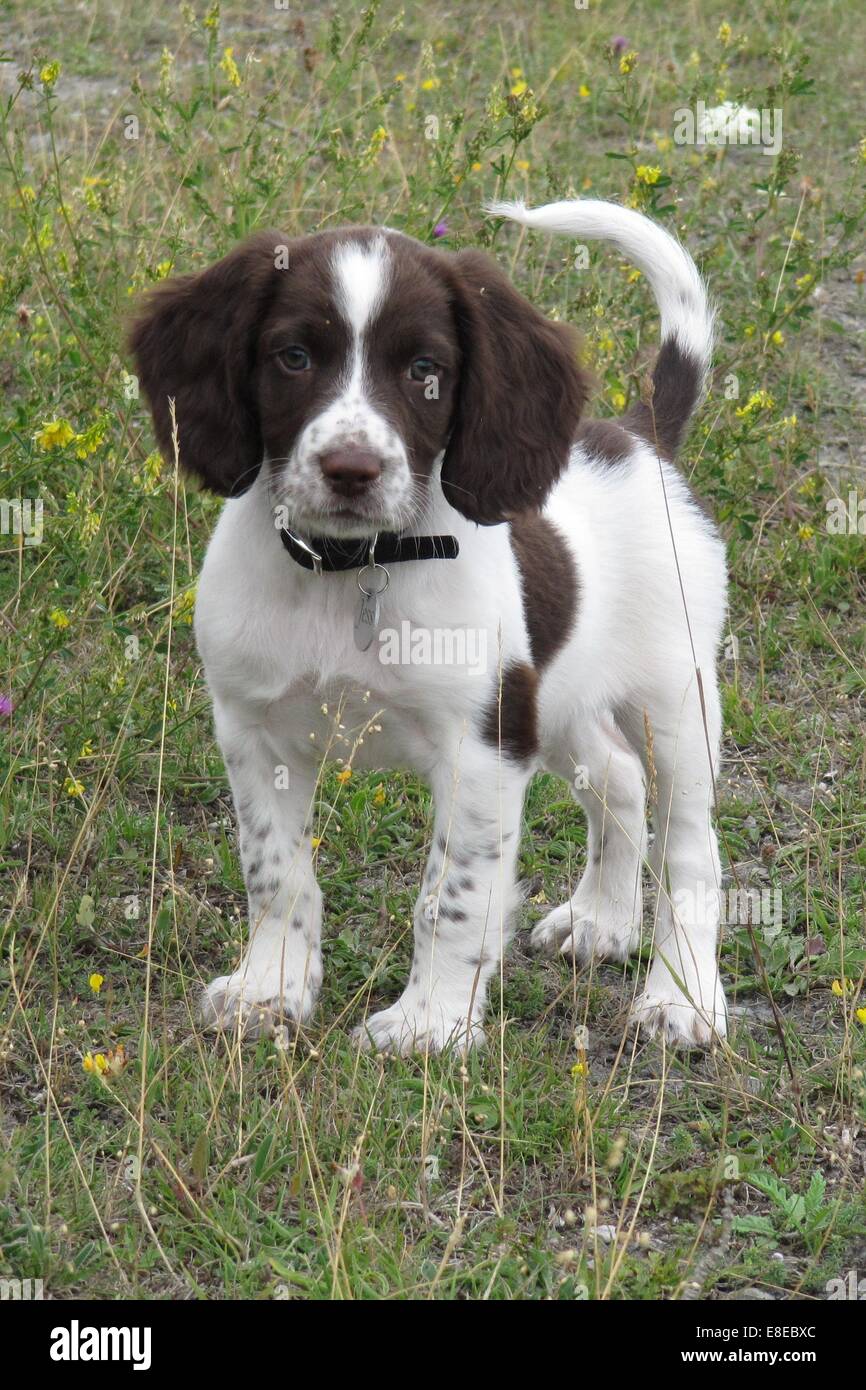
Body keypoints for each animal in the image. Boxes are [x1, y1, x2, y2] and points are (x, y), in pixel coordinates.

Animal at [132, 198, 728, 1050]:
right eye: (292, 357)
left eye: (425, 371)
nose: (352, 470)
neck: (350, 574)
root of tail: (639, 434)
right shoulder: (253, 732)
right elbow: (276, 873)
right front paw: (270, 988)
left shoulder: (480, 749)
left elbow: (453, 897)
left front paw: (430, 1024)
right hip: (555, 698)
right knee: (617, 778)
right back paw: (600, 922)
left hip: (671, 700)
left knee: (691, 850)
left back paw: (683, 999)